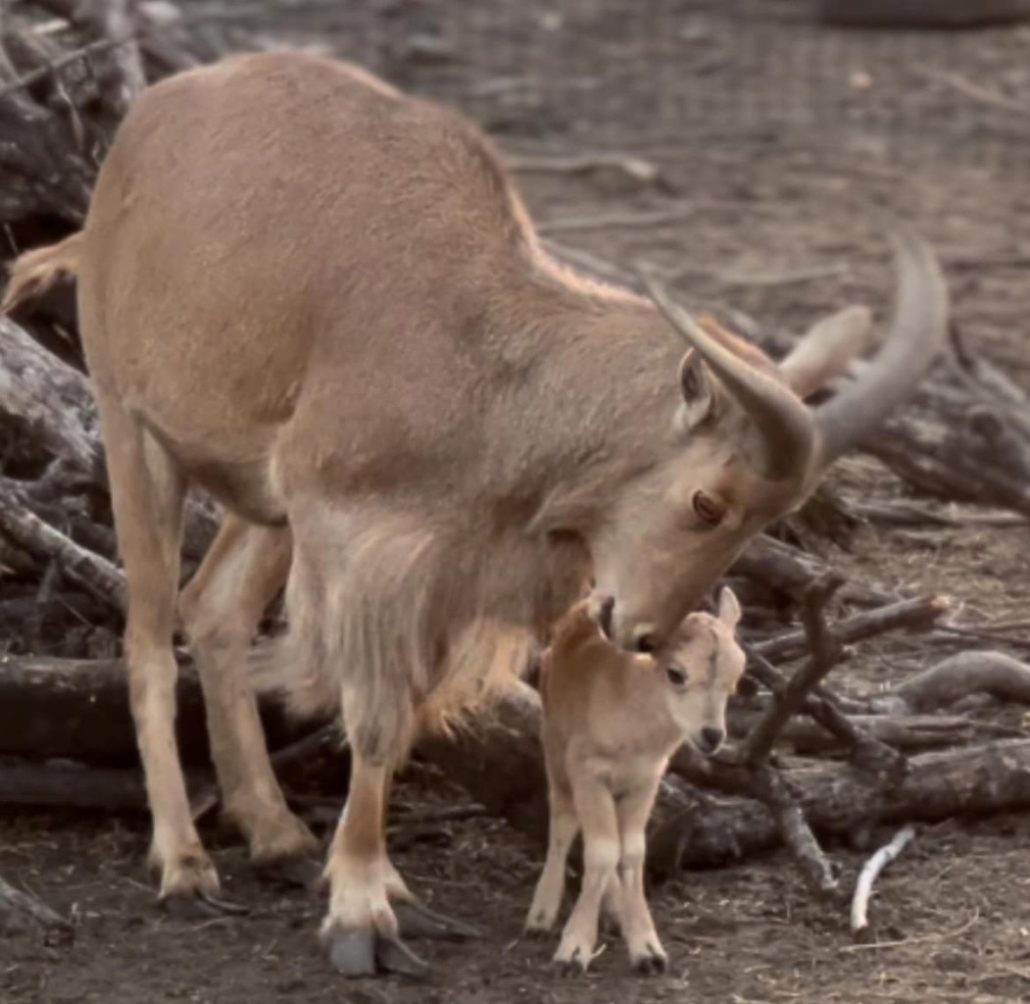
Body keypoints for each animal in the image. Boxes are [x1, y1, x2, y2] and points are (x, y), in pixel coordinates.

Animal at [527, 589, 745, 972]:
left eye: (735, 679)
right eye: (675, 673)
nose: (711, 735)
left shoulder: (646, 779)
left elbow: (631, 852)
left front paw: (648, 950)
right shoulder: (587, 770)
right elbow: (600, 851)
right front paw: (573, 951)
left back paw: (614, 911)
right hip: (554, 742)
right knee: (563, 822)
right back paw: (540, 916)